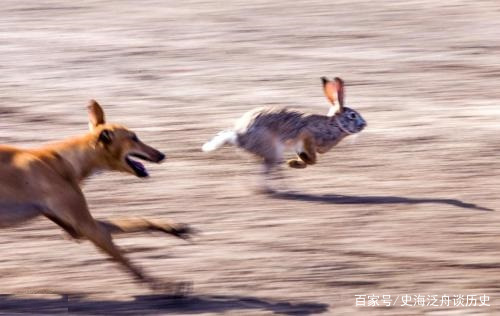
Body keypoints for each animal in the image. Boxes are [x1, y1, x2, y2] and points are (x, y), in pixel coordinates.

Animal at [0, 100, 191, 290]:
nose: (162, 155)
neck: (65, 159)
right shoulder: (88, 228)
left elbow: (135, 222)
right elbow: (128, 262)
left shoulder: (75, 229)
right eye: (134, 138)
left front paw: (171, 227)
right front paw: (165, 285)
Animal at [201, 76, 366, 188]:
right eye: (352, 115)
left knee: (268, 170)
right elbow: (313, 160)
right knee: (268, 171)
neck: (334, 125)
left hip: (272, 154)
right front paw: (297, 162)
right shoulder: (307, 135)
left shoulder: (301, 145)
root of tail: (237, 136)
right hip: (271, 149)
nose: (364, 124)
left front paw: (295, 163)